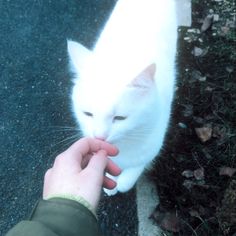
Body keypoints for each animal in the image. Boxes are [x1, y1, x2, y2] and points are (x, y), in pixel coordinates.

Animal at [67, 0, 176, 195]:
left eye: (119, 118)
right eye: (88, 114)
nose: (99, 138)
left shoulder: (151, 146)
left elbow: (130, 176)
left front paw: (121, 182)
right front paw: (110, 182)